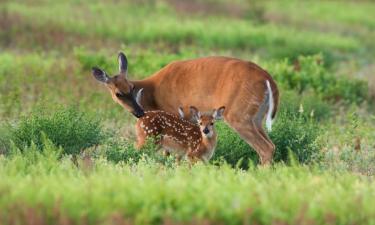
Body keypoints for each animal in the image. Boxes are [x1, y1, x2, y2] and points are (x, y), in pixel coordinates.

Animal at [91, 53, 280, 165]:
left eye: (131, 88)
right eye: (118, 93)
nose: (139, 112)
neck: (152, 93)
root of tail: (268, 79)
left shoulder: (173, 112)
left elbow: (170, 152)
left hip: (238, 114)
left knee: (265, 148)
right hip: (256, 117)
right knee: (271, 144)